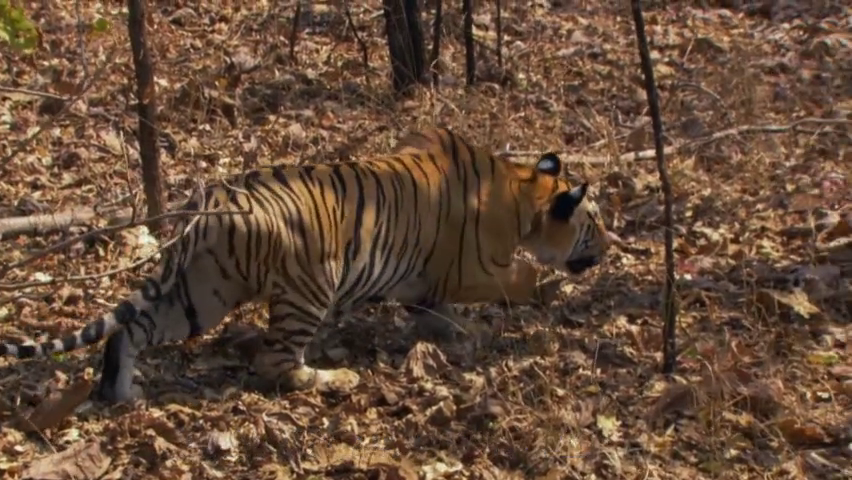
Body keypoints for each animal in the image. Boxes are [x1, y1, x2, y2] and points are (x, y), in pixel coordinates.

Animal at [0, 125, 612, 404]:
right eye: (595, 224)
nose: (612, 247)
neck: (523, 191)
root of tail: (209, 202)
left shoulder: (427, 283)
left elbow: (436, 314)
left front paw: (454, 335)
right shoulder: (474, 268)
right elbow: (520, 281)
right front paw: (548, 299)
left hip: (202, 293)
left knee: (131, 331)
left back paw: (121, 392)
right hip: (311, 284)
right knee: (275, 363)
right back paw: (333, 377)